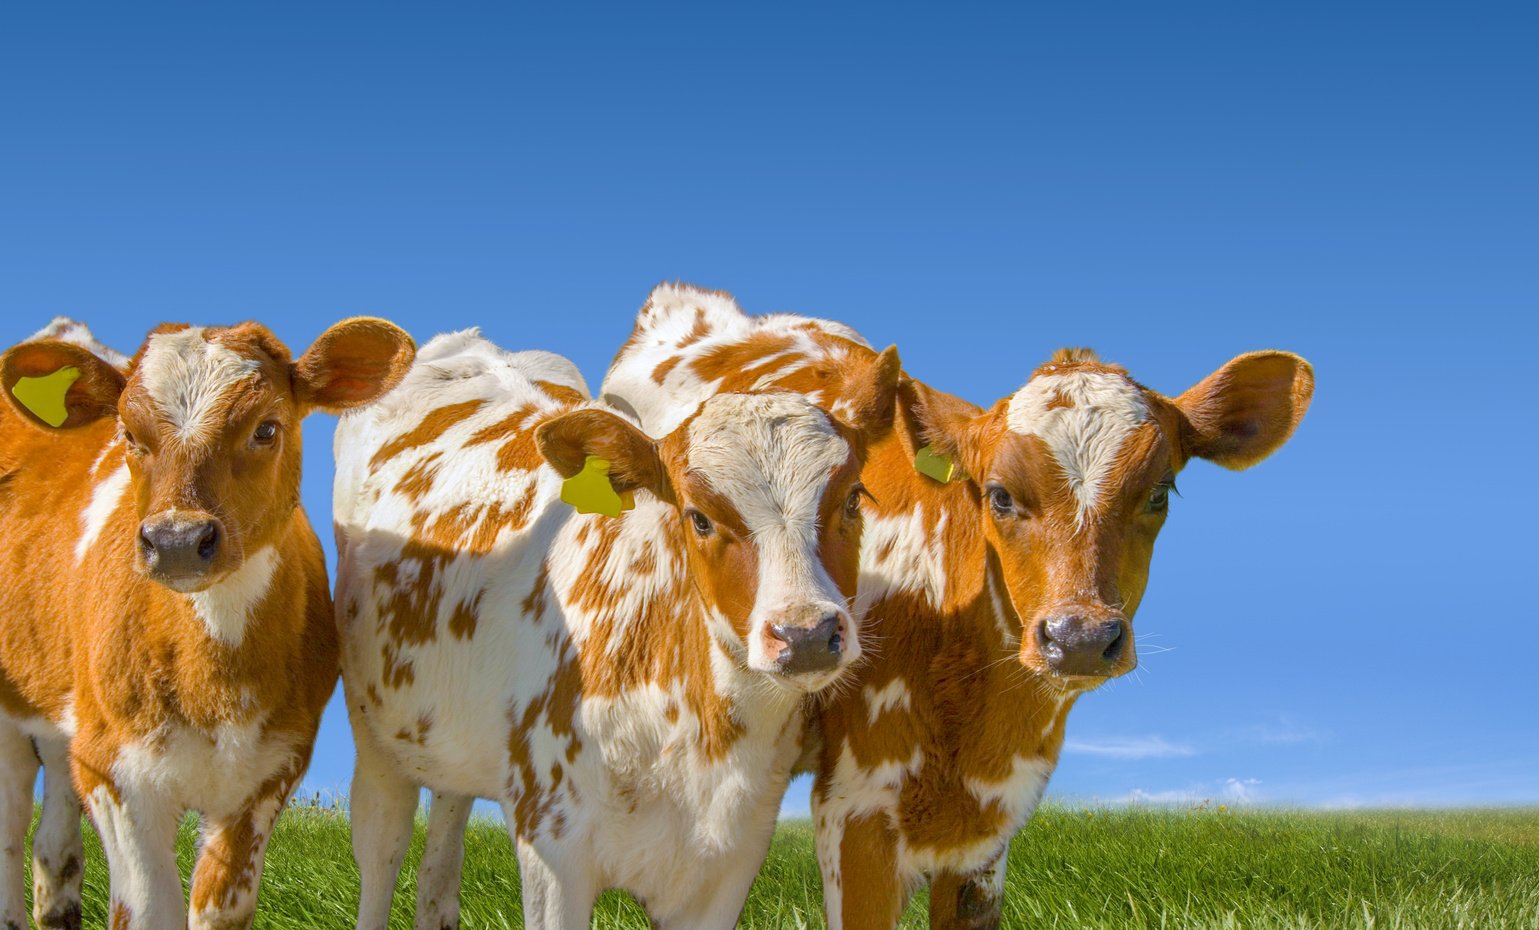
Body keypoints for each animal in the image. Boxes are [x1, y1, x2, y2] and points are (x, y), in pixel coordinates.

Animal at [0, 314, 415, 930]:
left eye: (266, 428)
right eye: (127, 433)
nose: (176, 541)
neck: (213, 680)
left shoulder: (268, 772)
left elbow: (219, 907)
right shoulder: (115, 772)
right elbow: (150, 909)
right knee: (9, 818)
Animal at [330, 326, 898, 930]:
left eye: (854, 498)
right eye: (699, 517)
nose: (806, 635)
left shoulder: (730, 862)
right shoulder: (551, 845)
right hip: (377, 741)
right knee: (382, 853)